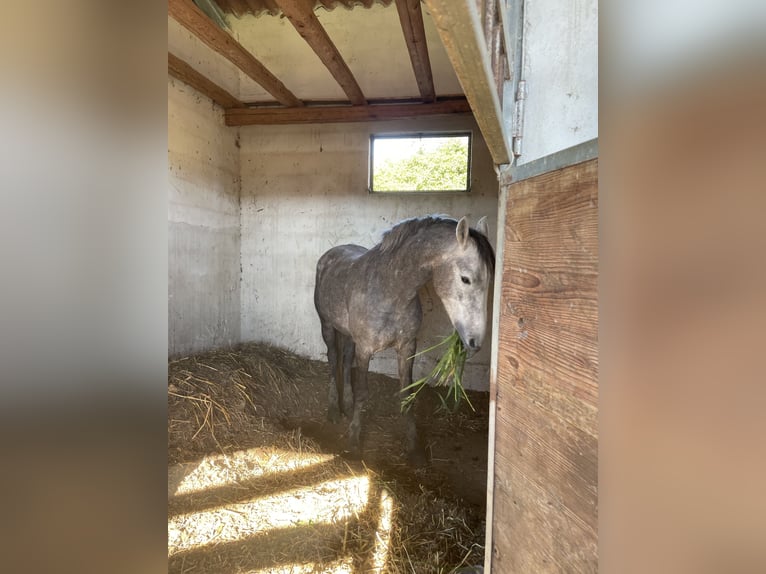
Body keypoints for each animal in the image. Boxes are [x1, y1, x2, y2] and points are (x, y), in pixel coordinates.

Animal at [313, 215, 495, 464]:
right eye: (465, 279)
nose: (475, 342)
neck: (390, 291)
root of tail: (329, 255)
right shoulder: (365, 350)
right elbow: (362, 392)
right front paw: (354, 441)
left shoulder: (407, 347)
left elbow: (406, 393)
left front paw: (413, 447)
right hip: (328, 327)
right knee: (333, 362)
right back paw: (334, 410)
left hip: (349, 336)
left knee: (346, 360)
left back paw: (347, 406)